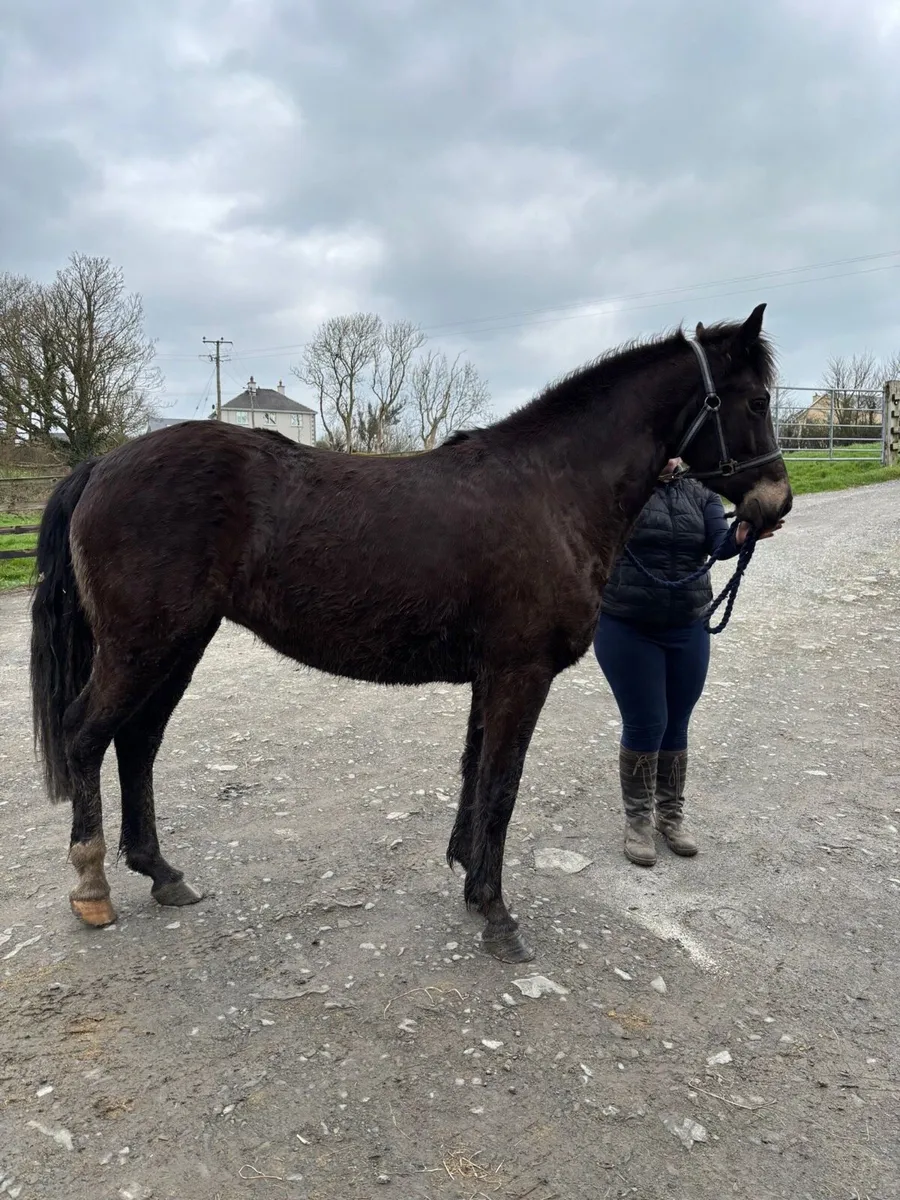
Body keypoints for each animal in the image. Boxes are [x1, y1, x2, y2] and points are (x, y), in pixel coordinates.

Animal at [30, 303, 791, 963]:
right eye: (755, 401)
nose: (774, 504)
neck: (552, 491)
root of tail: (104, 465)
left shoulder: (492, 675)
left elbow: (476, 775)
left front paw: (471, 884)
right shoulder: (520, 673)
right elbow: (502, 785)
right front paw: (498, 915)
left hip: (177, 646)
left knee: (138, 742)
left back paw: (161, 872)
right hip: (141, 647)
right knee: (86, 736)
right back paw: (93, 888)